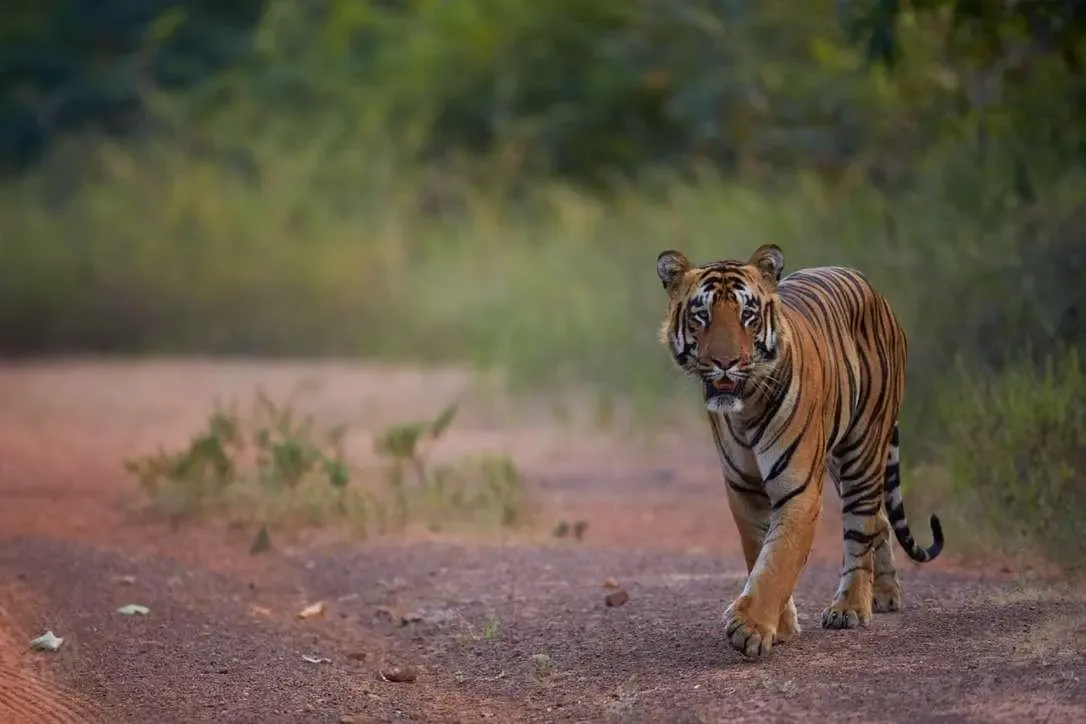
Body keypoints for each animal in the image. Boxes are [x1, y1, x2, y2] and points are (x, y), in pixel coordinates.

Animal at [655, 243, 943, 659]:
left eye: (747, 316)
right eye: (701, 316)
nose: (725, 363)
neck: (745, 409)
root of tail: (872, 288)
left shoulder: (799, 490)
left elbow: (779, 558)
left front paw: (751, 627)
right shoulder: (744, 490)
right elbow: (760, 552)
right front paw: (781, 624)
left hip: (863, 450)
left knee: (861, 527)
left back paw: (851, 607)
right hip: (841, 462)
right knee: (880, 520)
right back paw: (885, 594)